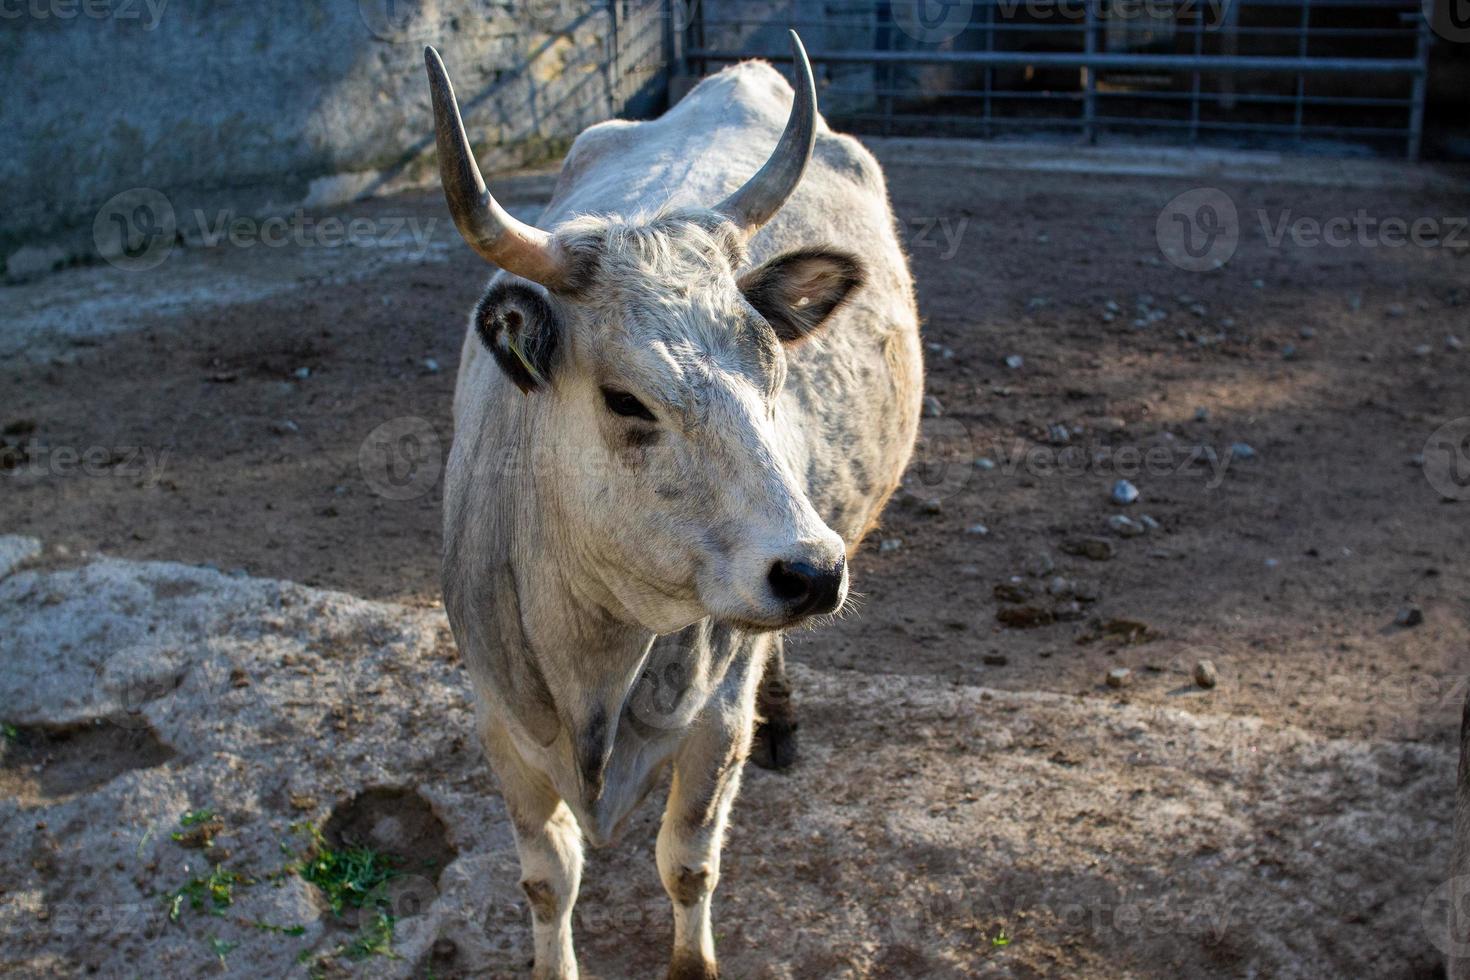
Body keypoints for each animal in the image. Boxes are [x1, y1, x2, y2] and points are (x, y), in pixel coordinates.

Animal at [429, 34, 923, 975]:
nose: (813, 572)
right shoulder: (500, 725)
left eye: (775, 368)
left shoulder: (715, 718)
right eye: (626, 400)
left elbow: (687, 862)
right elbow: (548, 879)